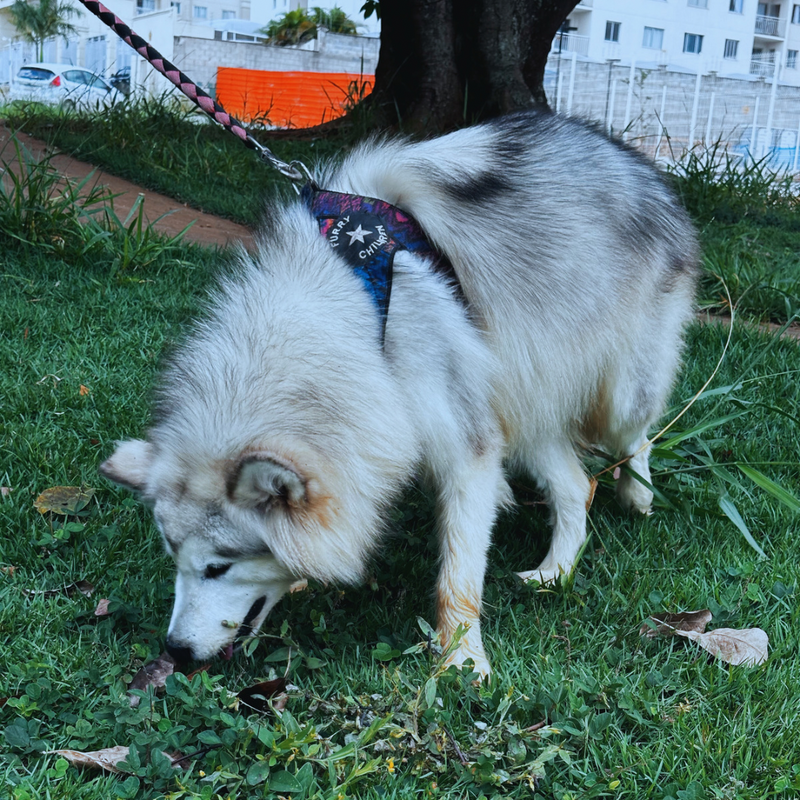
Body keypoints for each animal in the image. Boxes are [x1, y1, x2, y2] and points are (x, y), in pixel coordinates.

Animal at [103, 111, 696, 676]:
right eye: (174, 558)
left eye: (217, 567)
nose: (175, 651)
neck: (354, 315)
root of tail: (637, 162)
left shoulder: (466, 451)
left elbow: (457, 575)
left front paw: (462, 661)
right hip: (522, 398)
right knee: (576, 485)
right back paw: (555, 572)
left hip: (617, 396)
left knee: (639, 437)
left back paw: (637, 495)